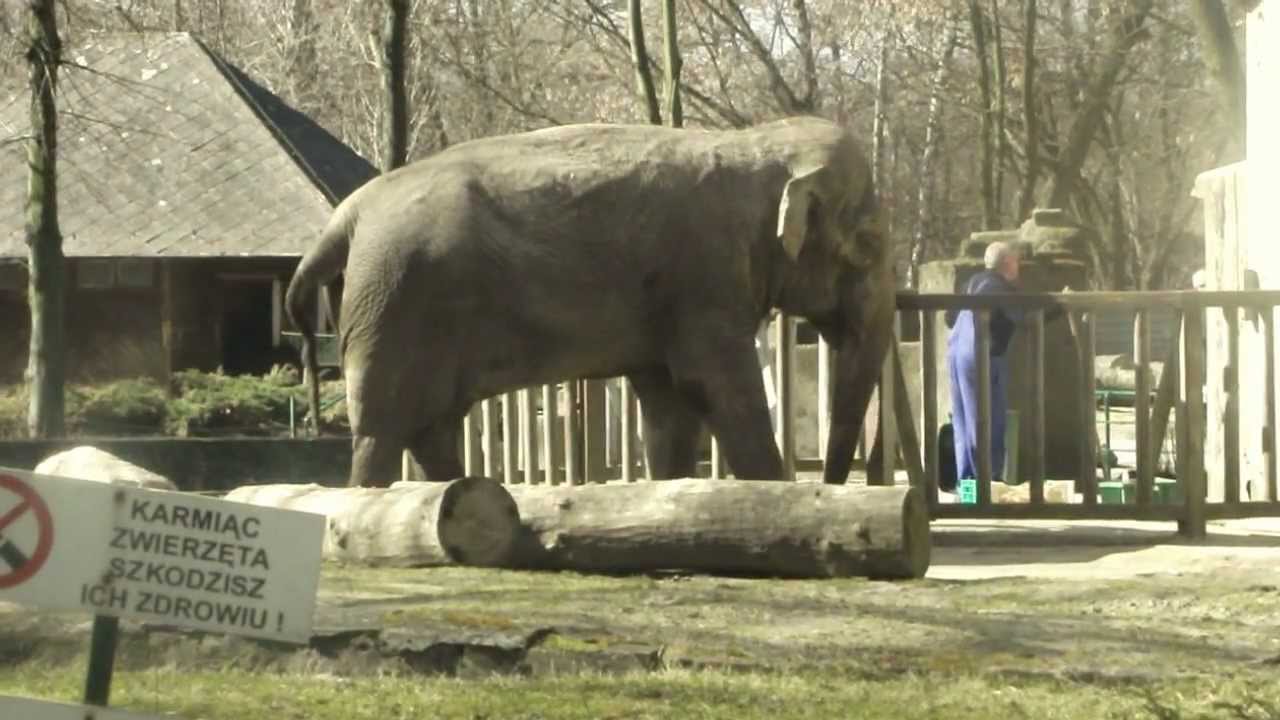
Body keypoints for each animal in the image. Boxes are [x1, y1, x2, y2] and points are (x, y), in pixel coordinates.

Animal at [285, 115, 895, 488]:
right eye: (868, 244)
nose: (831, 485)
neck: (755, 142)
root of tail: (348, 214)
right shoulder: (704, 275)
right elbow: (716, 385)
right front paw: (775, 495)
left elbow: (669, 404)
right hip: (395, 300)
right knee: (384, 426)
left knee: (430, 425)